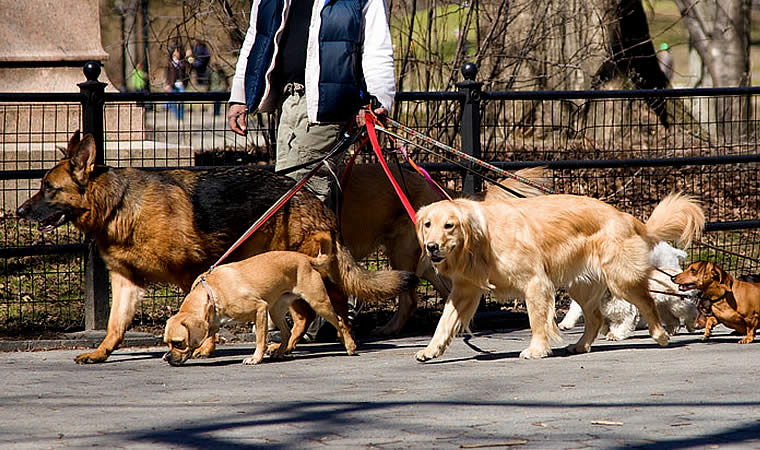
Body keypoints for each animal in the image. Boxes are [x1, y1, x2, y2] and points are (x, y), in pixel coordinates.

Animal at [165, 234, 354, 368]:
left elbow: (260, 338)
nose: (167, 357)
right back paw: (280, 351)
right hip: (276, 309)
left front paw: (256, 358)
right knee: (287, 332)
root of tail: (305, 258)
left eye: (178, 343)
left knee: (340, 321)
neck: (212, 292)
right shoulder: (214, 322)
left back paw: (350, 346)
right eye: (167, 343)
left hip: (319, 303)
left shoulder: (260, 309)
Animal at [556, 243, 696, 342]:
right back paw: (671, 330)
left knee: (690, 310)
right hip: (663, 307)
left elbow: (623, 325)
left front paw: (615, 335)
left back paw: (691, 324)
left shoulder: (628, 313)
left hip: (677, 304)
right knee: (673, 319)